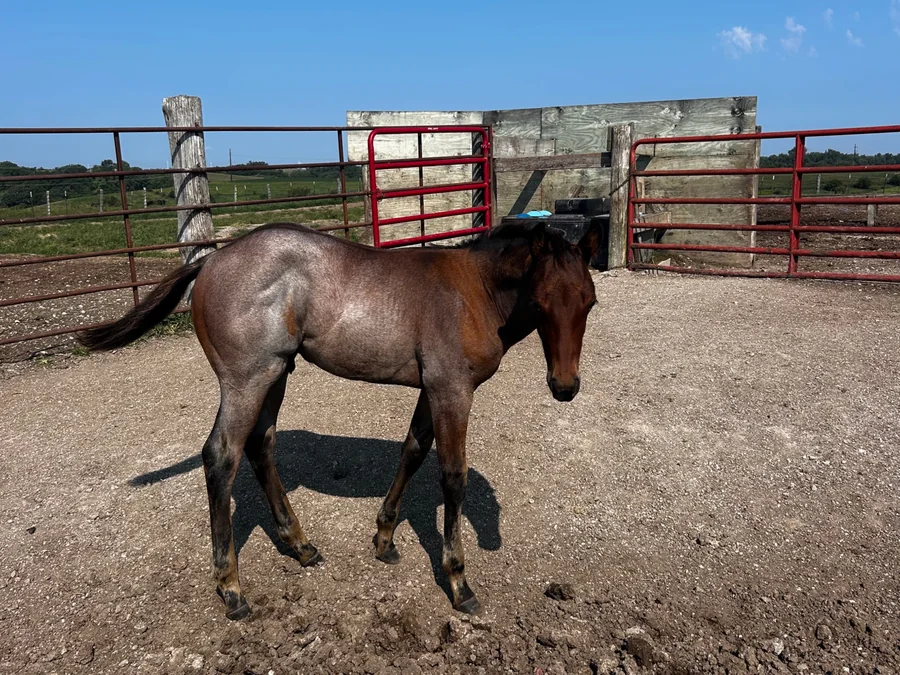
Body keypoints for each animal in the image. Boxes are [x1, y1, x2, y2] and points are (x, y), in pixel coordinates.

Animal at [78, 219, 601, 620]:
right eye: (540, 302)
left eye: (589, 302)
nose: (565, 386)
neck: (473, 292)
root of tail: (211, 260)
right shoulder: (453, 391)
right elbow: (453, 476)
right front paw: (458, 581)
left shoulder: (432, 389)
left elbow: (413, 450)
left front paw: (384, 538)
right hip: (246, 381)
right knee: (221, 456)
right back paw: (231, 587)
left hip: (276, 373)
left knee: (260, 445)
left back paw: (300, 545)